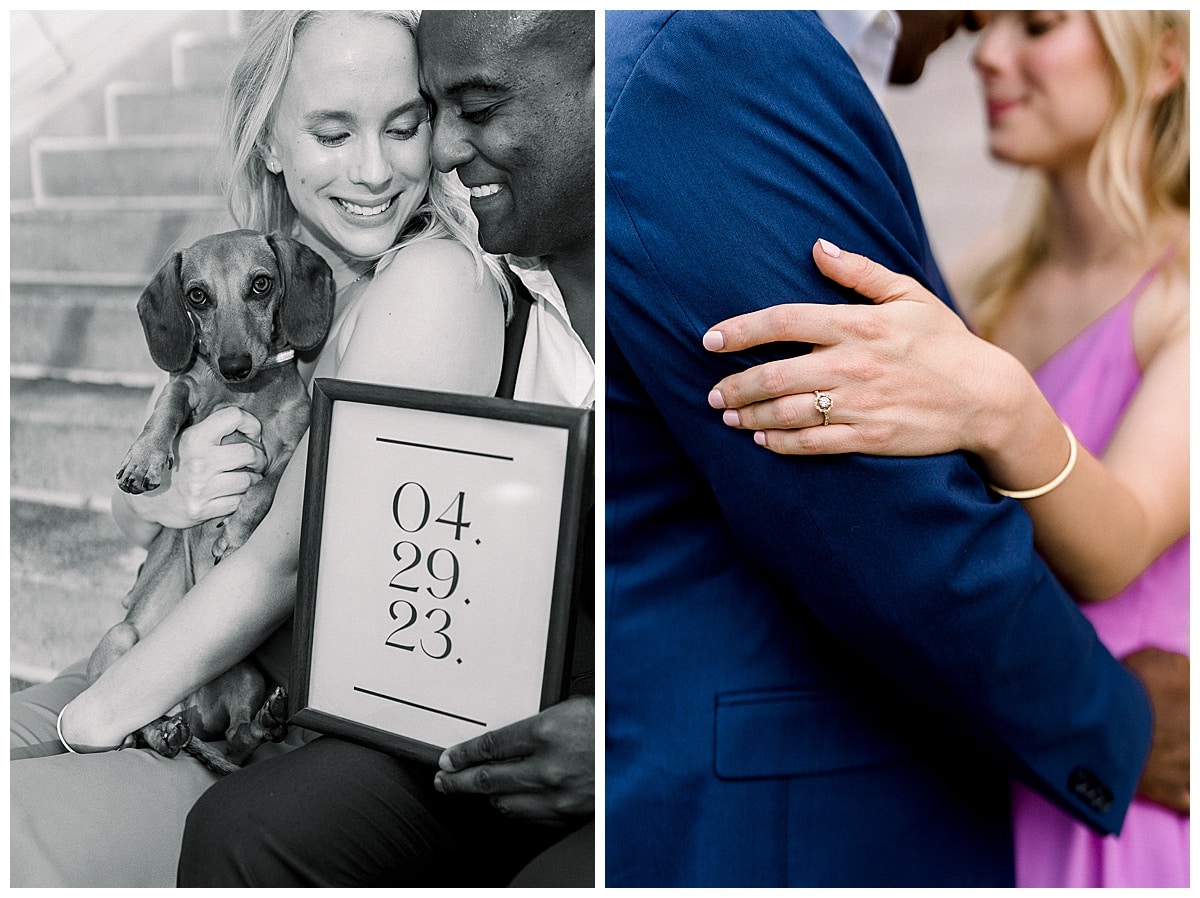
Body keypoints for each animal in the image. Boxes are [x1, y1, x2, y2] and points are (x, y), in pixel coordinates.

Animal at [87, 229, 336, 773]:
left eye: (261, 284)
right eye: (197, 295)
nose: (234, 366)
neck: (245, 395)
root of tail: (190, 709)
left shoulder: (297, 443)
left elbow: (267, 484)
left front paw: (237, 532)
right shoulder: (185, 389)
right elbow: (169, 401)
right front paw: (144, 459)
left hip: (246, 673)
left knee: (241, 738)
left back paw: (261, 721)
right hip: (121, 639)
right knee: (133, 730)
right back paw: (163, 732)